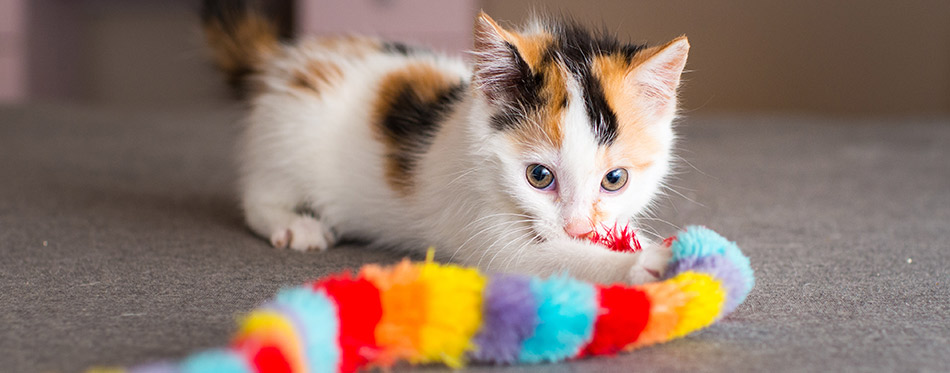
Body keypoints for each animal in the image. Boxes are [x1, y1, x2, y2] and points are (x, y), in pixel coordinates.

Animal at [203, 2, 692, 282]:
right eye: (538, 176)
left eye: (615, 179)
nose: (579, 229)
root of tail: (286, 58)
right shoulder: (480, 225)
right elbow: (546, 259)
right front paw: (644, 264)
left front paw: (649, 245)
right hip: (285, 139)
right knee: (257, 196)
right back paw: (295, 224)